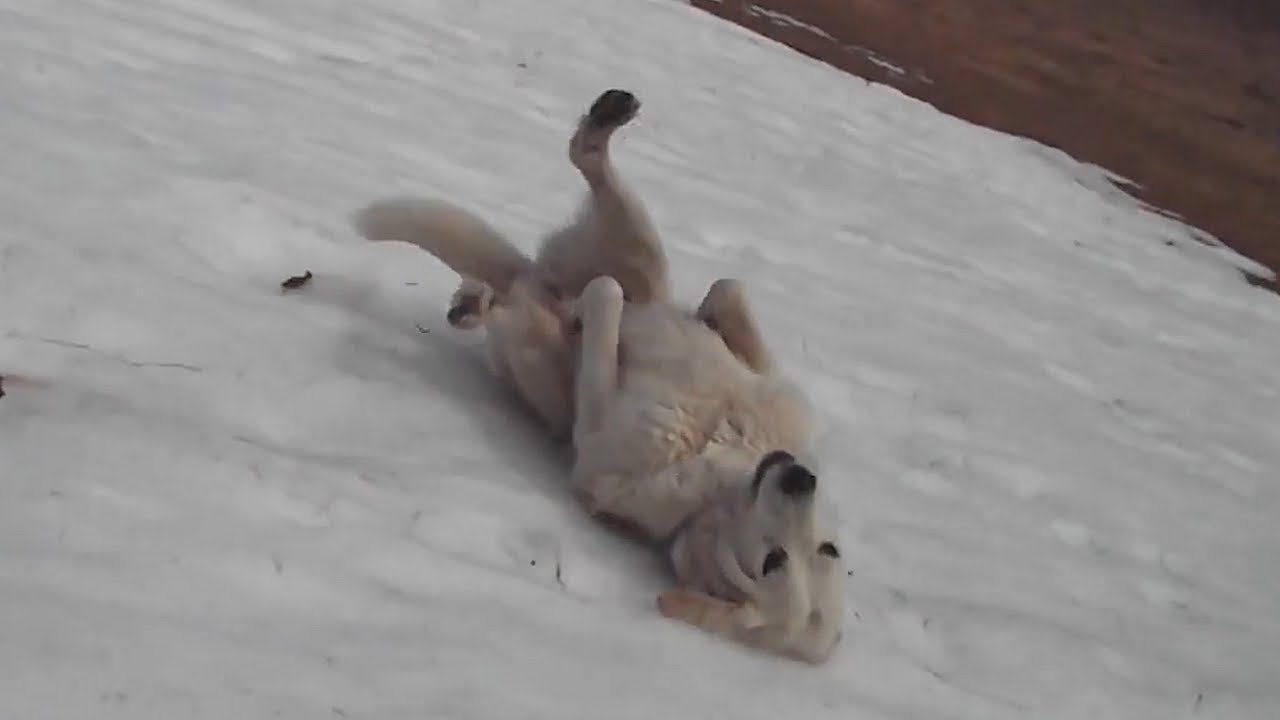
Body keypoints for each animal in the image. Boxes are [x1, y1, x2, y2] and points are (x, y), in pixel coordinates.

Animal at [355, 87, 844, 661]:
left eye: (774, 562)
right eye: (830, 549)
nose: (800, 476)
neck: (725, 464)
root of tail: (528, 277)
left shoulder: (597, 446)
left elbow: (603, 303)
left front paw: (583, 319)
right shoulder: (778, 390)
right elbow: (728, 289)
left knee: (557, 275)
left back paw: (505, 303)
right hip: (638, 246)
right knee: (595, 197)